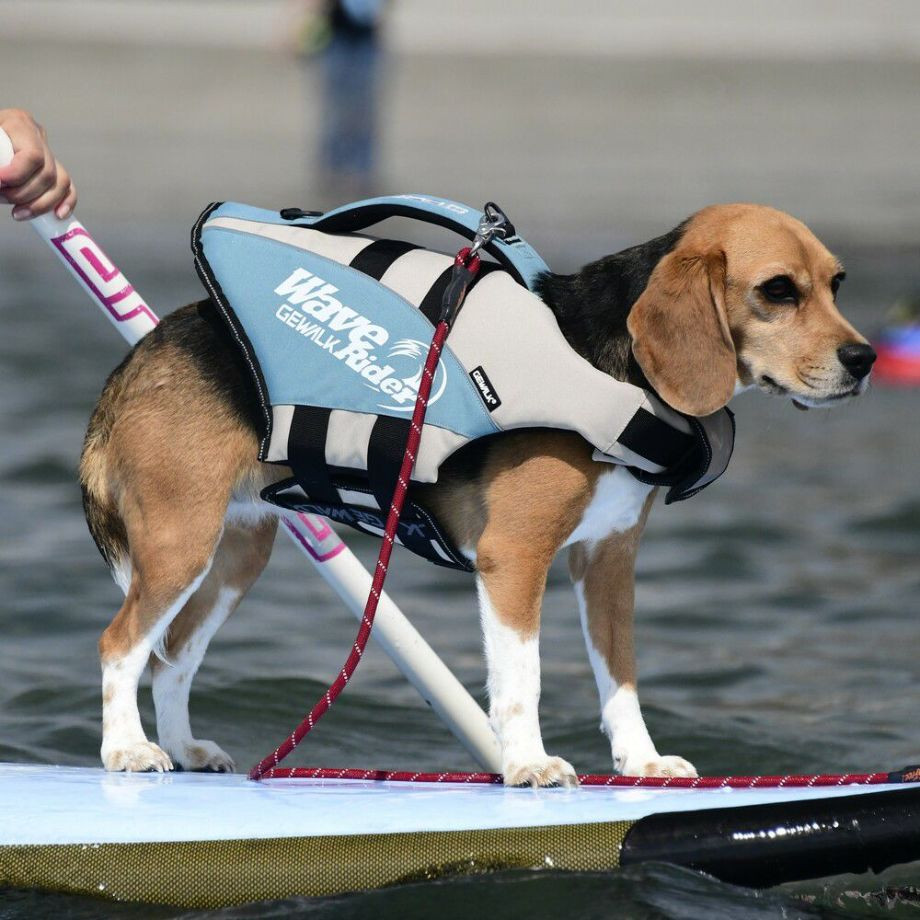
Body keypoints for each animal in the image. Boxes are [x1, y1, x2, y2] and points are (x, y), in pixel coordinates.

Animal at [81, 201, 876, 784]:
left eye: (837, 283)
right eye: (778, 290)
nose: (864, 359)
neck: (613, 370)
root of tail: (144, 351)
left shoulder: (609, 562)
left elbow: (620, 678)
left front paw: (642, 763)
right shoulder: (514, 558)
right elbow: (522, 676)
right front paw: (528, 764)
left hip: (233, 559)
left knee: (171, 657)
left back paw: (184, 749)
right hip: (182, 546)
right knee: (121, 644)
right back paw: (126, 751)